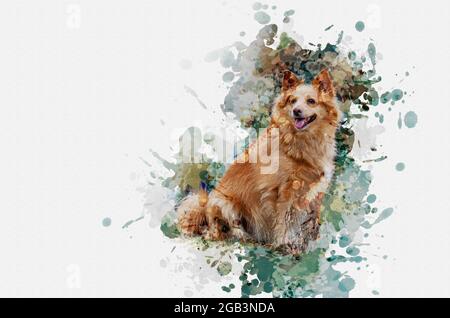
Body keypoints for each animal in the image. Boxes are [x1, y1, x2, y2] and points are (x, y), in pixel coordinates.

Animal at [178, 69, 340, 253]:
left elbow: (311, 221)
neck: (303, 142)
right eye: (292, 101)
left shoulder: (316, 191)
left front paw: (311, 243)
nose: (296, 111)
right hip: (223, 203)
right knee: (219, 232)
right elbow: (285, 221)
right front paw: (285, 245)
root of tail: (203, 210)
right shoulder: (283, 192)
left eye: (311, 101)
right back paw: (244, 238)